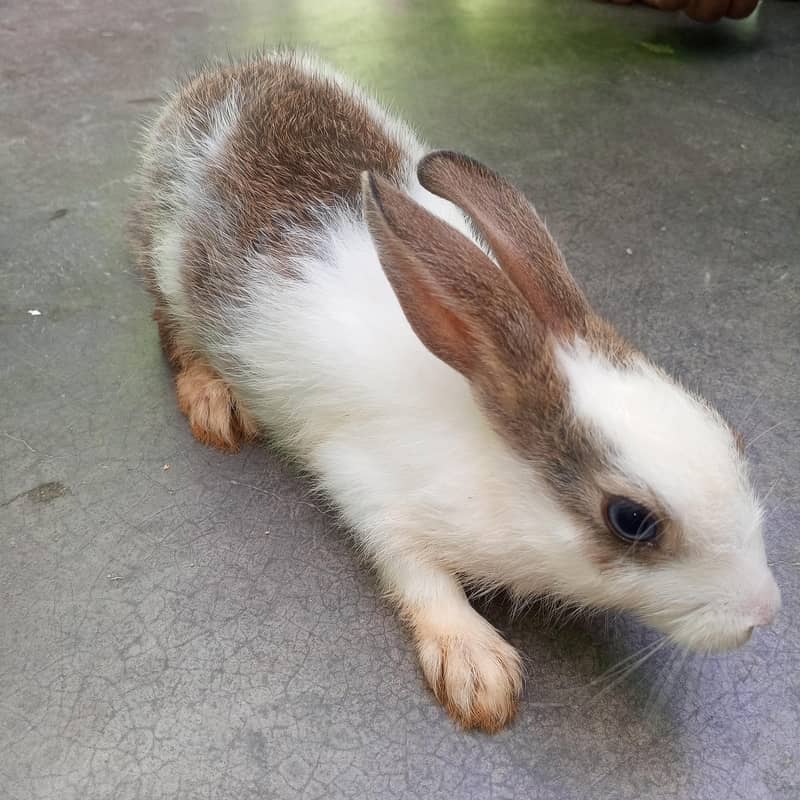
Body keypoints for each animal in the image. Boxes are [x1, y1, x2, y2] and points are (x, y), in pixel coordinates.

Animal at [130, 51, 781, 732]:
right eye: (631, 520)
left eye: (732, 438)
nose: (763, 613)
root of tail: (218, 83)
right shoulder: (369, 491)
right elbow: (417, 575)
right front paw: (477, 671)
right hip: (167, 269)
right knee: (173, 332)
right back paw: (214, 402)